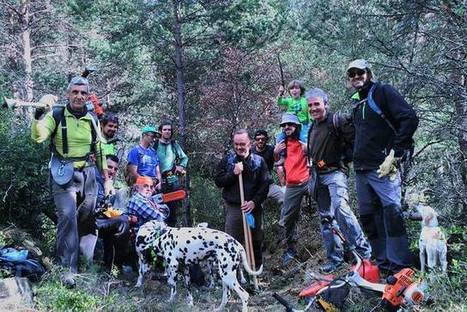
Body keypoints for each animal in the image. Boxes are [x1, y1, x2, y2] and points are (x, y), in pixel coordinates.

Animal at [136, 221, 264, 310]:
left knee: (244, 295)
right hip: (224, 277)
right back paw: (218, 309)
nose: (141, 272)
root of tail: (236, 243)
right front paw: (190, 304)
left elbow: (172, 287)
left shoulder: (173, 267)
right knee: (226, 296)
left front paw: (170, 301)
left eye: (142, 258)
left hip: (228, 277)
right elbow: (188, 291)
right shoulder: (186, 271)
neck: (161, 240)